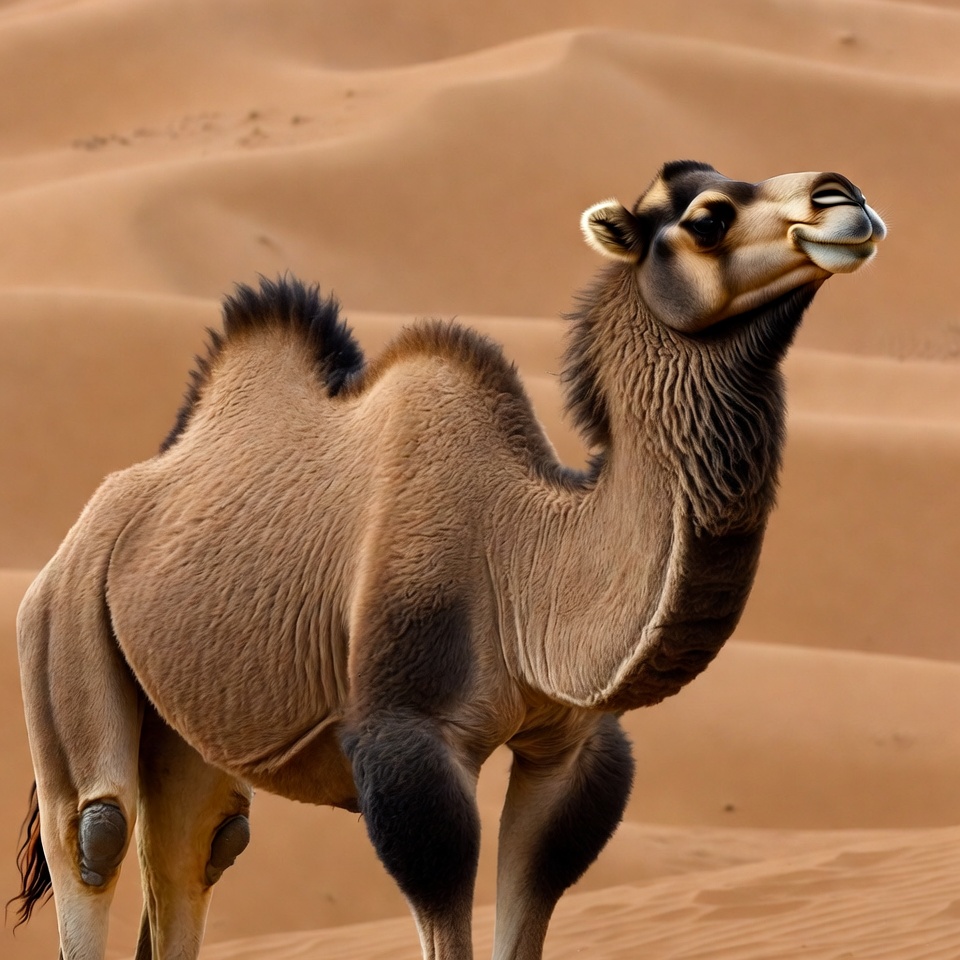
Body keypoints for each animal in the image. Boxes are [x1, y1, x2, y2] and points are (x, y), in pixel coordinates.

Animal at [13, 160, 885, 960]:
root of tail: (75, 541)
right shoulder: (410, 740)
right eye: (707, 217)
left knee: (199, 848)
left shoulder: (571, 748)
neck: (520, 553)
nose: (844, 197)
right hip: (58, 622)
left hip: (184, 719)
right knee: (96, 830)